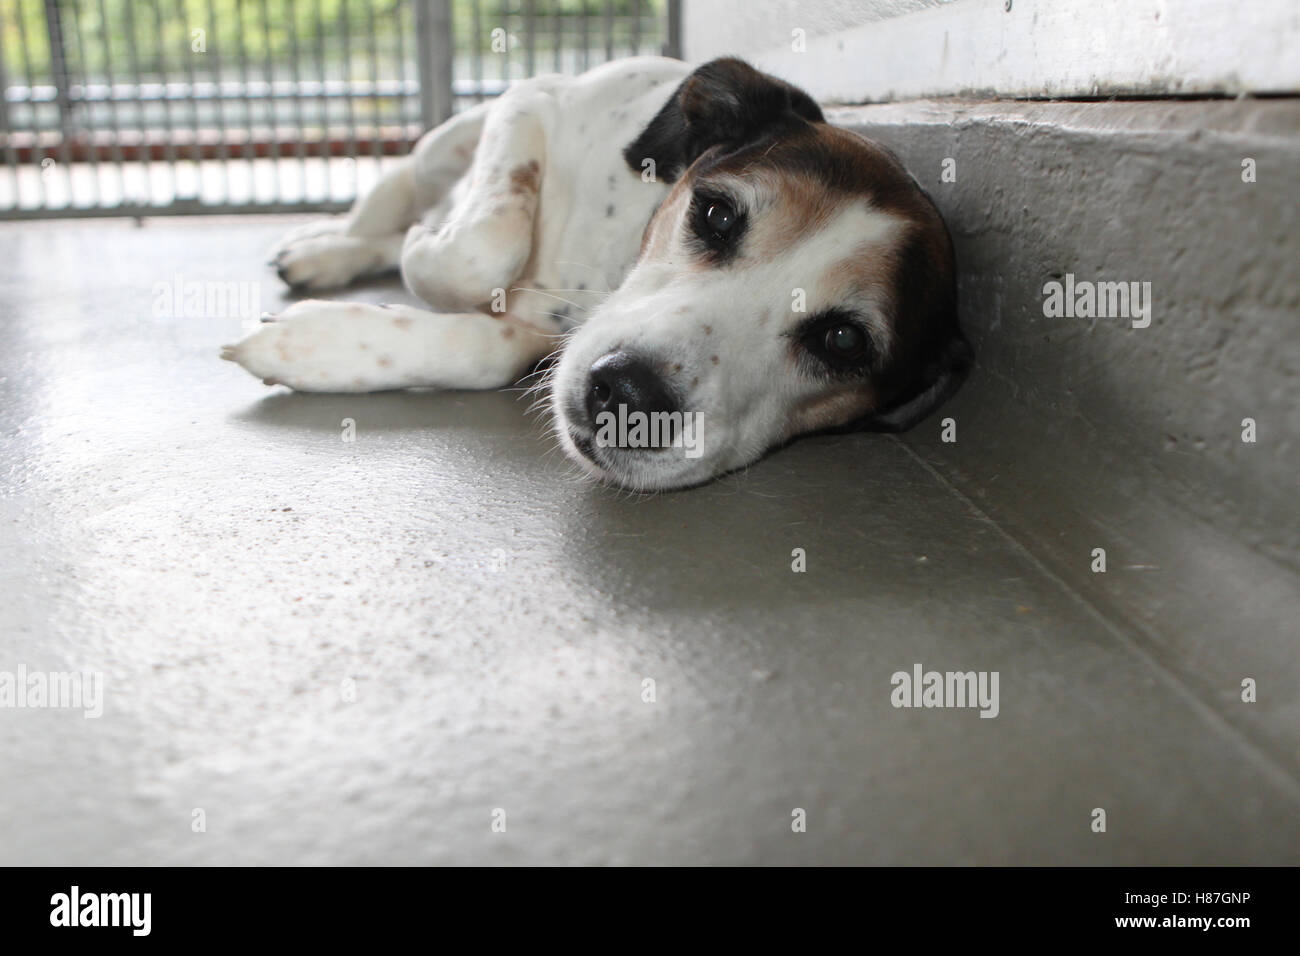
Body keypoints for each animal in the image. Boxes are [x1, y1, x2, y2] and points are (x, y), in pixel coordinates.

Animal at [220, 57, 967, 494]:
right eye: (717, 214)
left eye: (842, 342)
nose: (631, 396)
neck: (609, 265)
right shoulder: (531, 102)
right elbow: (480, 249)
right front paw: (424, 250)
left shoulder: (539, 334)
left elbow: (484, 349)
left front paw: (310, 347)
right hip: (444, 144)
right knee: (391, 199)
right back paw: (329, 245)